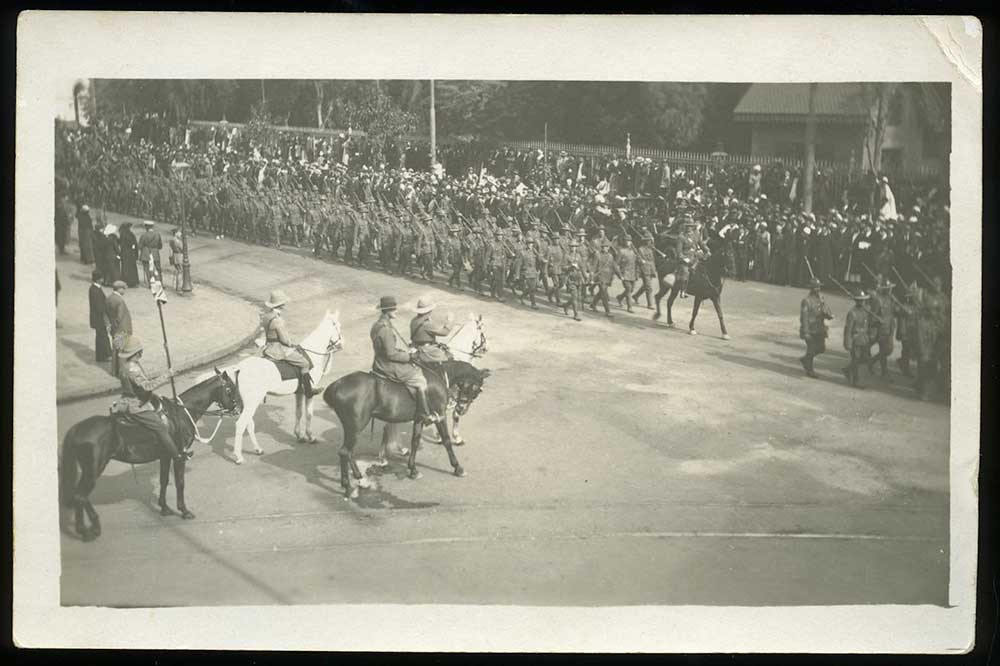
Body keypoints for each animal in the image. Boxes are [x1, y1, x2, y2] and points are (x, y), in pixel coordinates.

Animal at [61, 368, 240, 540]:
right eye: (230, 389)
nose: (238, 409)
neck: (180, 415)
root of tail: (75, 429)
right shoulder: (179, 457)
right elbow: (180, 483)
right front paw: (183, 510)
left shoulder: (165, 456)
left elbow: (164, 480)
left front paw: (164, 508)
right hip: (93, 470)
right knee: (80, 496)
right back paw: (90, 529)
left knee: (79, 496)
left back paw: (86, 529)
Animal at [227, 310, 344, 462]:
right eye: (338, 326)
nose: (342, 344)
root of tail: (240, 368)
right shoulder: (309, 393)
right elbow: (309, 414)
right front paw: (310, 437)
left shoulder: (299, 392)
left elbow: (298, 413)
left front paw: (299, 435)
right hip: (252, 402)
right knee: (241, 424)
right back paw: (239, 456)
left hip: (246, 404)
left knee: (249, 424)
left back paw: (258, 449)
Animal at [322, 360, 490, 496]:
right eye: (471, 387)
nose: (461, 408)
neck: (439, 376)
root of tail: (337, 384)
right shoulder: (440, 416)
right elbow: (446, 441)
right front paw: (457, 467)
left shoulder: (419, 419)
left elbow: (415, 442)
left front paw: (413, 470)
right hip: (356, 426)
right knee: (345, 452)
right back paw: (349, 486)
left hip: (351, 428)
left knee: (348, 453)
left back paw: (359, 480)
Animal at [376, 312, 486, 462]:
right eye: (482, 331)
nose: (486, 348)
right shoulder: (455, 397)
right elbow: (455, 416)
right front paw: (456, 438)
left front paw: (439, 436)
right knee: (389, 428)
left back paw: (391, 454)